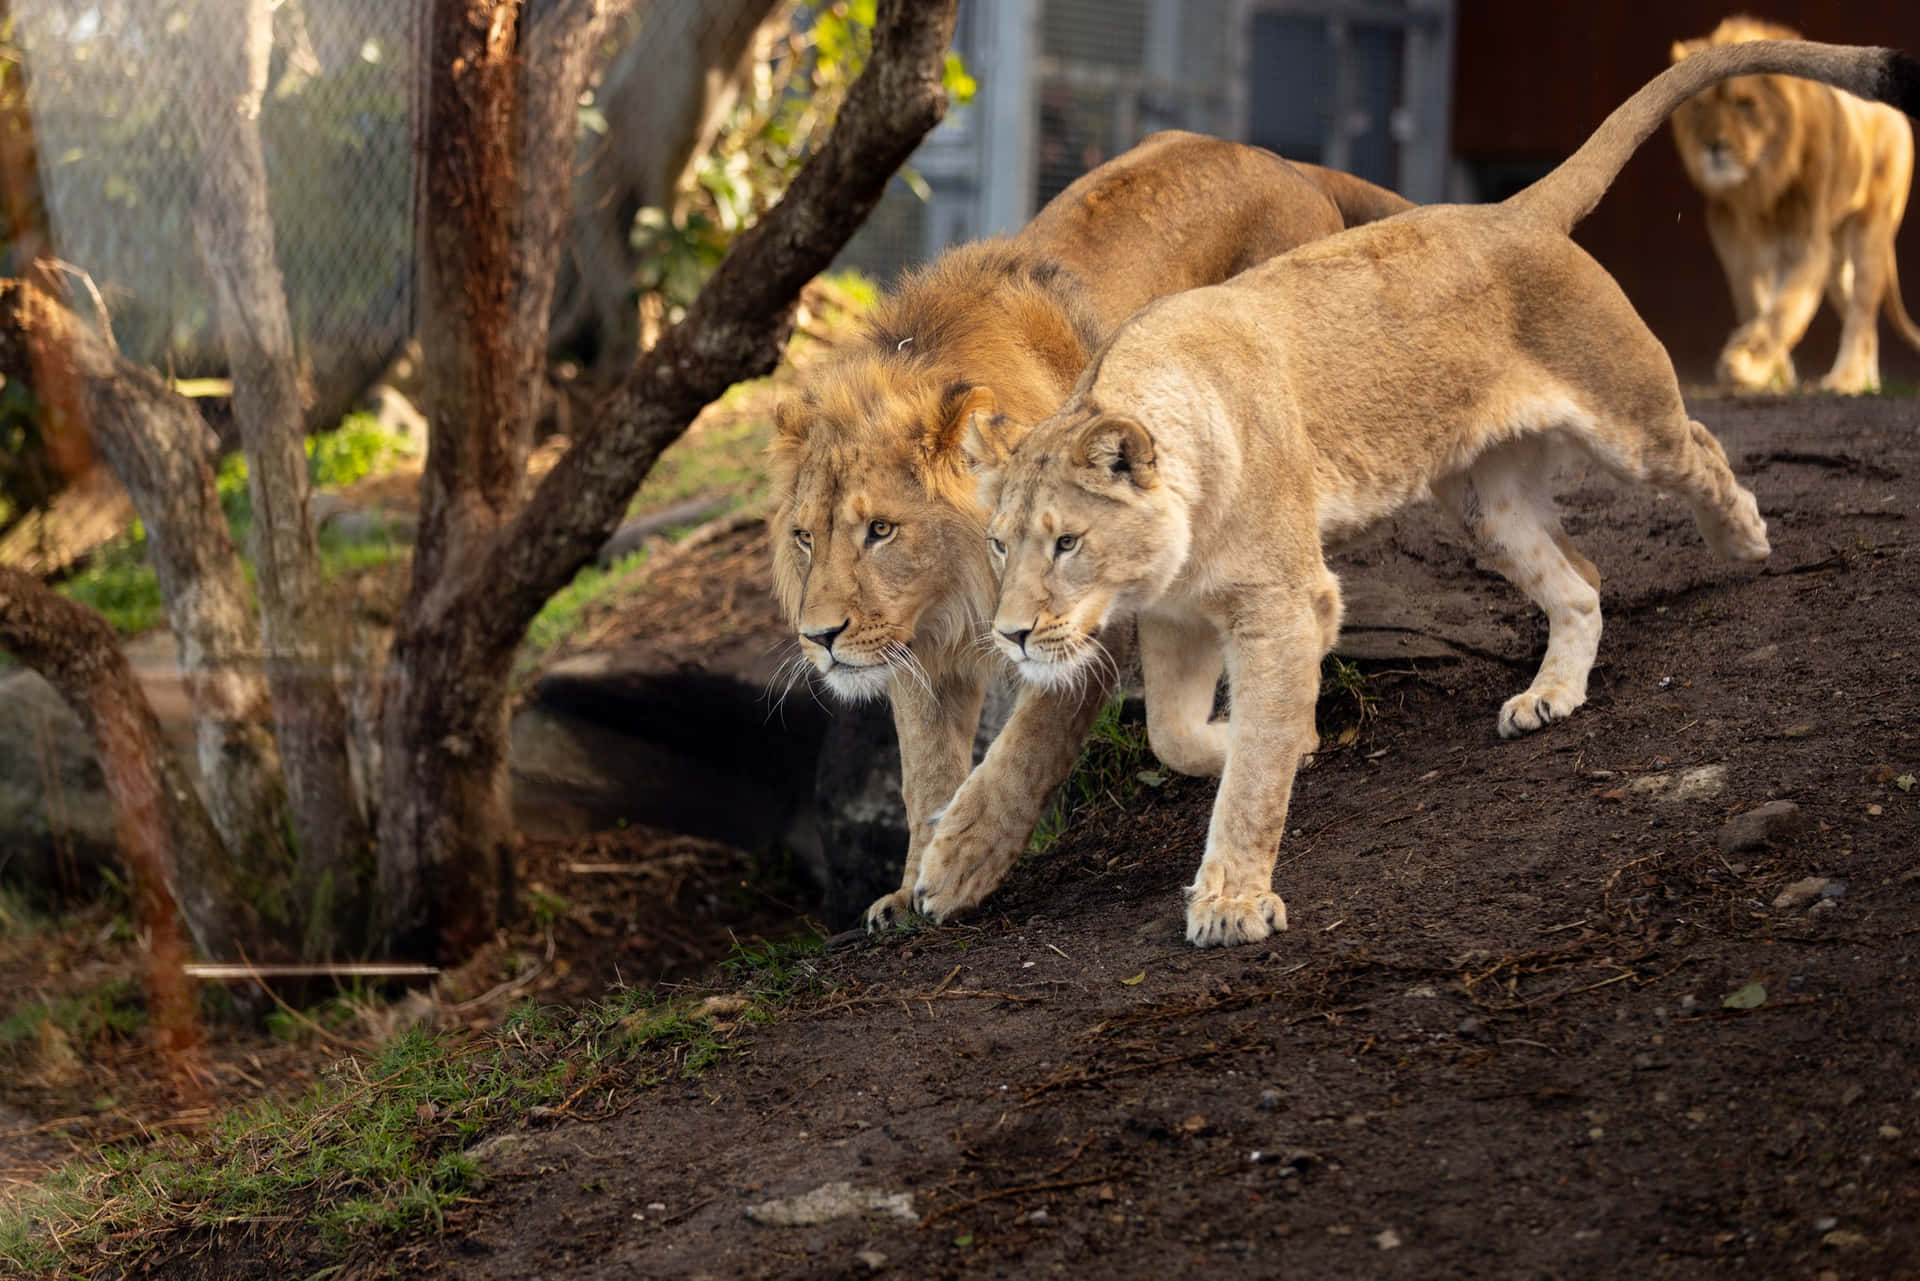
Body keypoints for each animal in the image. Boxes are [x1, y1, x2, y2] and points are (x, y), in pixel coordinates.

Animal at [764, 132, 1413, 933]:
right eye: (804, 537)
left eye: (881, 530)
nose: (819, 637)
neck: (959, 593)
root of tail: (1281, 159)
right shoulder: (919, 650)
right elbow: (924, 773)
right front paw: (908, 885)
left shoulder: (1087, 618)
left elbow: (1028, 745)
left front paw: (963, 858)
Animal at [1666, 15, 1920, 393]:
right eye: (1699, 107)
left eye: (1745, 104)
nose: (1714, 146)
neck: (1757, 186)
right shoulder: (1735, 245)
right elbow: (1754, 303)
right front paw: (1772, 376)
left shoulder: (1806, 244)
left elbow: (1783, 310)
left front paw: (1745, 362)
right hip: (1836, 262)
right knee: (1858, 311)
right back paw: (1867, 380)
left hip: (1870, 231)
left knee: (1862, 309)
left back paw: (1846, 380)